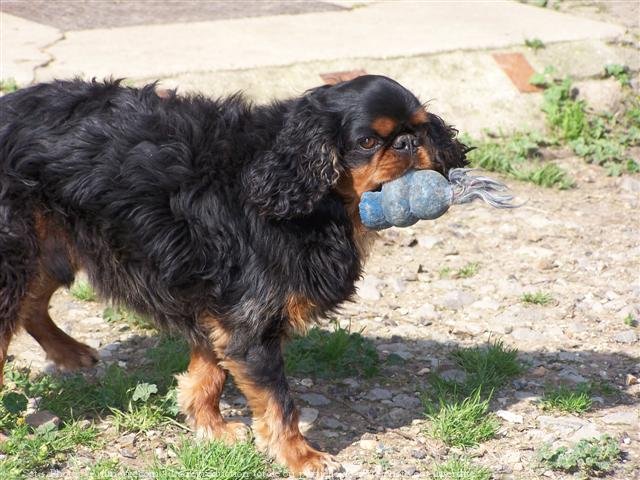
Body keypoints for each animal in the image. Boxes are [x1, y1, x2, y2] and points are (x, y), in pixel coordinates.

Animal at [0, 76, 470, 476]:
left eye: (421, 129)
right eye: (368, 141)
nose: (408, 143)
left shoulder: (225, 309)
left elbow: (209, 374)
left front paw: (210, 427)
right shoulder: (250, 321)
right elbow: (279, 402)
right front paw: (299, 456)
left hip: (50, 251)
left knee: (32, 306)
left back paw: (70, 353)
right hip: (18, 257)